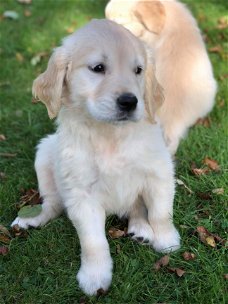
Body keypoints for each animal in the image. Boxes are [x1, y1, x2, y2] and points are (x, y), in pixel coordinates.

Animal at [11, 19, 180, 294]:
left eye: (138, 70)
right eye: (98, 68)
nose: (129, 102)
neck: (110, 134)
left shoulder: (159, 173)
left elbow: (160, 212)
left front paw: (167, 240)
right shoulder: (81, 194)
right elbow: (93, 242)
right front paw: (94, 276)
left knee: (136, 207)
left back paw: (141, 229)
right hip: (45, 153)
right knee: (53, 204)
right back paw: (33, 218)